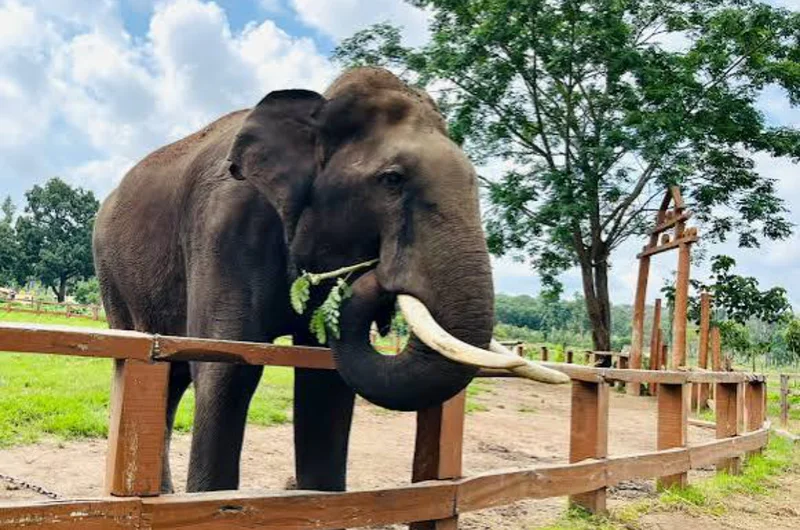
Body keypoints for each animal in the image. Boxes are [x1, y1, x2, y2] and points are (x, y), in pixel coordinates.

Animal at [93, 67, 562, 494]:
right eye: (392, 179)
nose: (376, 274)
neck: (316, 110)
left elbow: (326, 380)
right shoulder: (222, 228)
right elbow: (227, 364)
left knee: (171, 377)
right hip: (111, 274)